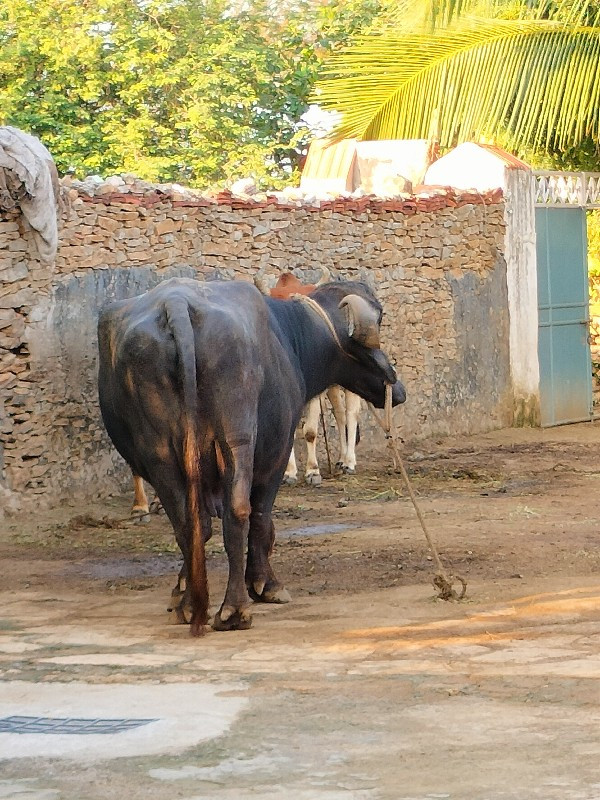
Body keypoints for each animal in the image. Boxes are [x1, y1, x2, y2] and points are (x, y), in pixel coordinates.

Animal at [97, 278, 408, 636]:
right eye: (380, 320)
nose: (397, 389)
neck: (288, 334)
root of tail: (175, 306)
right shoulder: (278, 449)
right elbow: (263, 519)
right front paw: (265, 584)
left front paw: (181, 589)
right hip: (238, 435)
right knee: (238, 512)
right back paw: (235, 610)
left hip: (158, 449)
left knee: (186, 520)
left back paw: (190, 607)